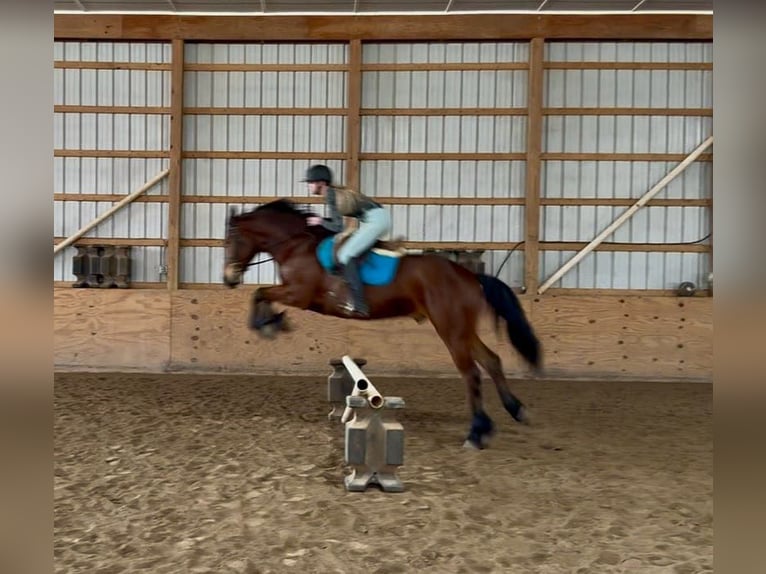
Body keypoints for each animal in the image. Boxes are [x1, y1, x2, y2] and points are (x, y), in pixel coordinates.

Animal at [223, 199, 541, 449]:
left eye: (230, 241)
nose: (229, 278)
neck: (296, 244)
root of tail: (471, 276)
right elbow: (261, 294)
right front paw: (272, 322)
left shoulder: (299, 294)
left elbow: (259, 292)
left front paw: (268, 324)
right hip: (462, 329)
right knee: (491, 360)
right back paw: (514, 411)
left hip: (450, 328)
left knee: (472, 373)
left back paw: (476, 433)